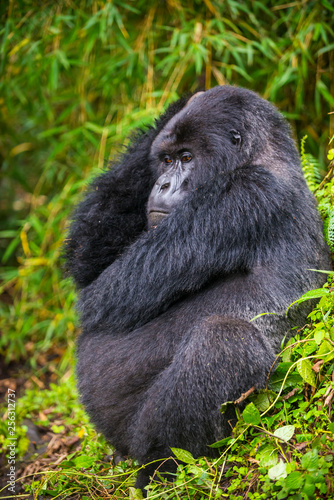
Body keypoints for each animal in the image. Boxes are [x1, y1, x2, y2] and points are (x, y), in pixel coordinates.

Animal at [65, 87, 332, 492]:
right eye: (166, 160)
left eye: (187, 158)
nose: (161, 185)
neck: (267, 157)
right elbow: (87, 260)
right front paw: (176, 105)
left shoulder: (242, 196)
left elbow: (101, 297)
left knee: (226, 340)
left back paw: (160, 471)